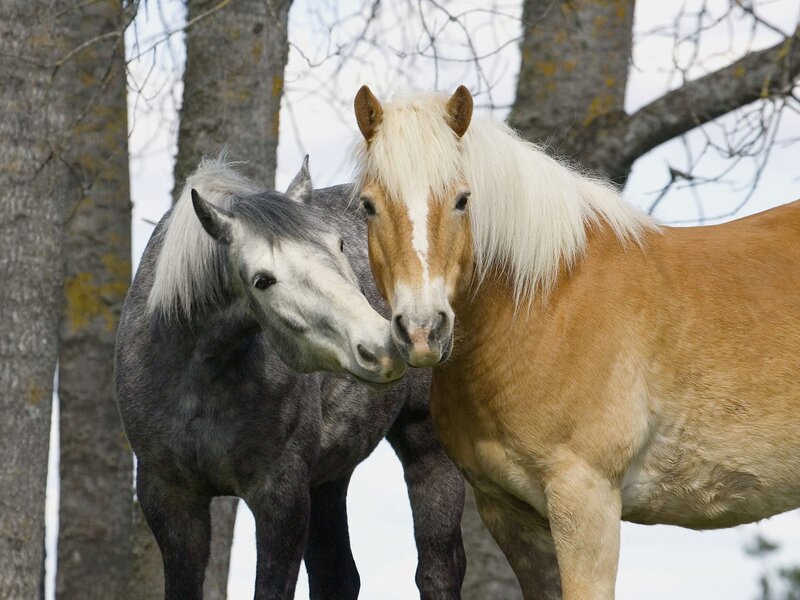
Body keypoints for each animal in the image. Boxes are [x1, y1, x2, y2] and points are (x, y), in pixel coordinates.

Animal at [115, 156, 466, 600]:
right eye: (263, 280)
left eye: (339, 245)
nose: (382, 347)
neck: (198, 378)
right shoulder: (170, 499)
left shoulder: (281, 496)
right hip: (330, 476)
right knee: (338, 575)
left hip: (427, 448)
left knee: (437, 571)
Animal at [350, 85, 800, 600]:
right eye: (368, 205)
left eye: (463, 199)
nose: (423, 329)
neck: (546, 302)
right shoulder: (510, 515)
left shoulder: (585, 498)